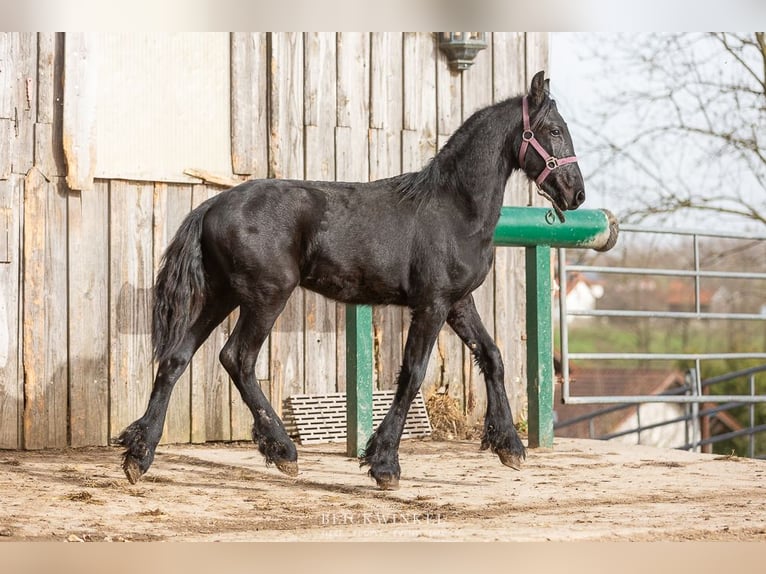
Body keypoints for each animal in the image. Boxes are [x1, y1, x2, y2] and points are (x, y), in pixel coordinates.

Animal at [118, 70, 585, 490]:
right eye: (554, 130)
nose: (576, 194)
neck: (453, 209)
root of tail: (212, 205)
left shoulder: (458, 303)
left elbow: (492, 356)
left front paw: (509, 446)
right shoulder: (431, 304)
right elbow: (413, 374)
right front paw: (384, 464)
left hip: (222, 295)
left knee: (177, 358)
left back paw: (139, 455)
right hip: (266, 297)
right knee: (238, 359)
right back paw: (283, 451)